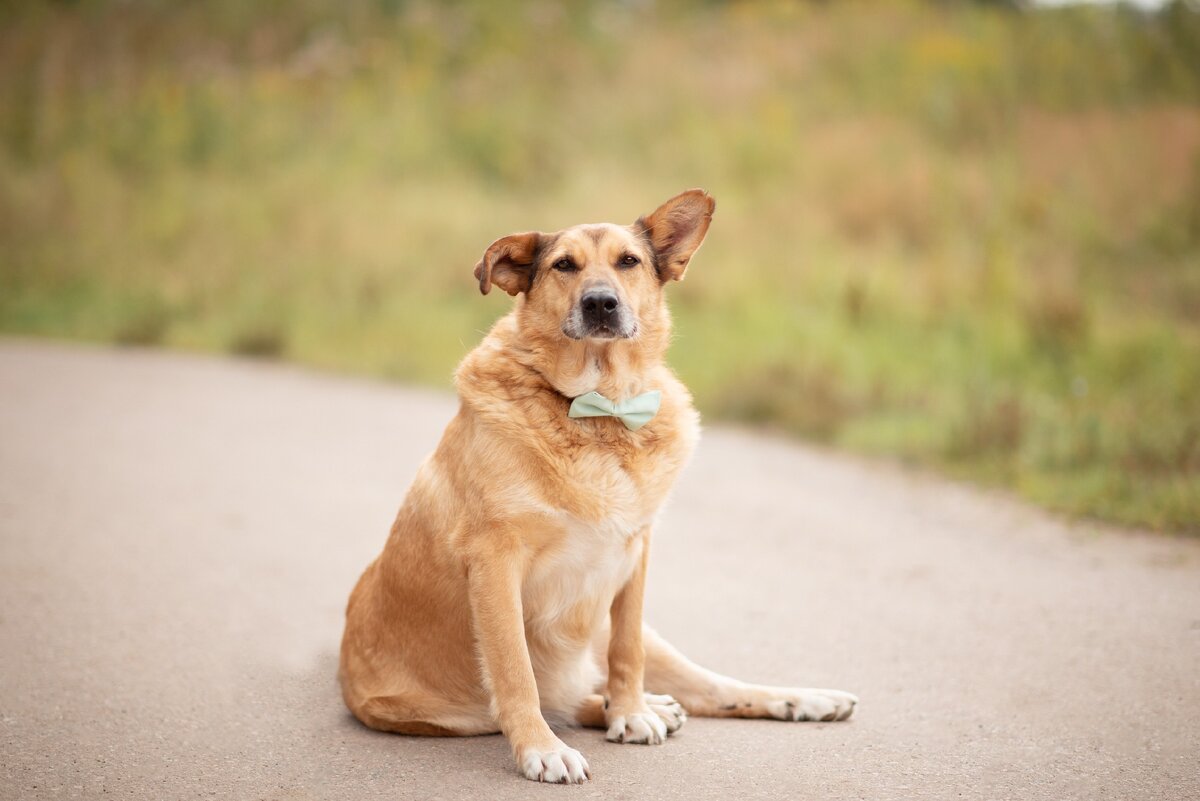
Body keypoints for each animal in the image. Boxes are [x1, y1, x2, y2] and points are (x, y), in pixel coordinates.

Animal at [338, 189, 859, 781]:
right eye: (564, 266)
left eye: (628, 261)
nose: (601, 304)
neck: (600, 409)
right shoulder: (495, 564)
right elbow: (516, 674)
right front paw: (543, 749)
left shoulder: (635, 555)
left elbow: (626, 654)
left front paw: (630, 713)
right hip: (452, 713)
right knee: (557, 701)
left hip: (630, 632)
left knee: (710, 687)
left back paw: (800, 699)